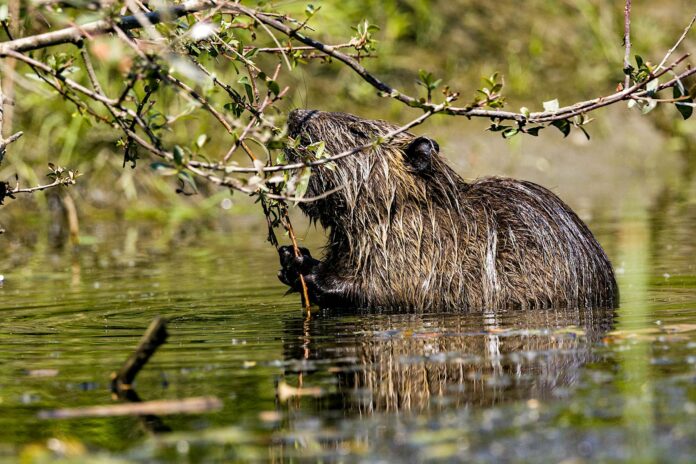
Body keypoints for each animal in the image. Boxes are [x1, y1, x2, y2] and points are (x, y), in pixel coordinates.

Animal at [278, 110, 620, 310]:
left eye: (357, 131)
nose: (296, 115)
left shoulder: (419, 252)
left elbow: (384, 292)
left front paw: (306, 268)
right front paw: (291, 257)